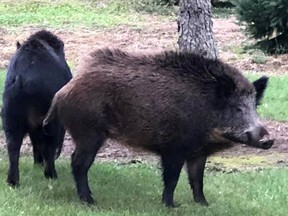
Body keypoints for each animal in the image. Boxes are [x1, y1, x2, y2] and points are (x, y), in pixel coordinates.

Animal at [2, 29, 72, 186]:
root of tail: (23, 78)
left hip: (11, 118)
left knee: (13, 147)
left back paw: (13, 181)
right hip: (50, 121)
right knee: (48, 145)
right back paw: (51, 174)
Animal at [43, 48, 274, 207]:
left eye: (254, 106)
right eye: (237, 108)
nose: (268, 139)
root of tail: (62, 92)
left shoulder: (198, 152)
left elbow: (197, 179)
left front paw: (204, 204)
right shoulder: (173, 147)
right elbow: (172, 178)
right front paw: (171, 206)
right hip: (89, 132)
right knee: (78, 163)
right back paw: (91, 201)